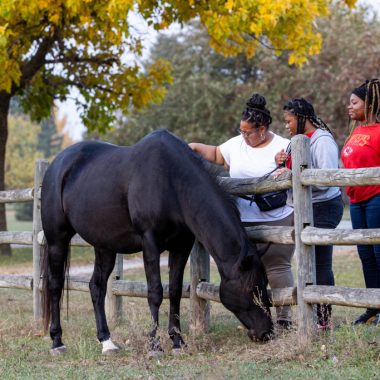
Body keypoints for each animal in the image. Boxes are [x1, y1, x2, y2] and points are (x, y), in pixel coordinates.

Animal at [40, 129, 274, 354]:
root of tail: (56, 164)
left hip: (104, 247)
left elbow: (175, 291)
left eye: (265, 283)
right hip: (57, 240)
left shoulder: (181, 246)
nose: (267, 332)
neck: (171, 181)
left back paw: (107, 342)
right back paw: (57, 342)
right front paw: (154, 346)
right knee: (55, 284)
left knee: (96, 287)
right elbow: (155, 292)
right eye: (251, 288)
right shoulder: (150, 243)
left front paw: (178, 342)